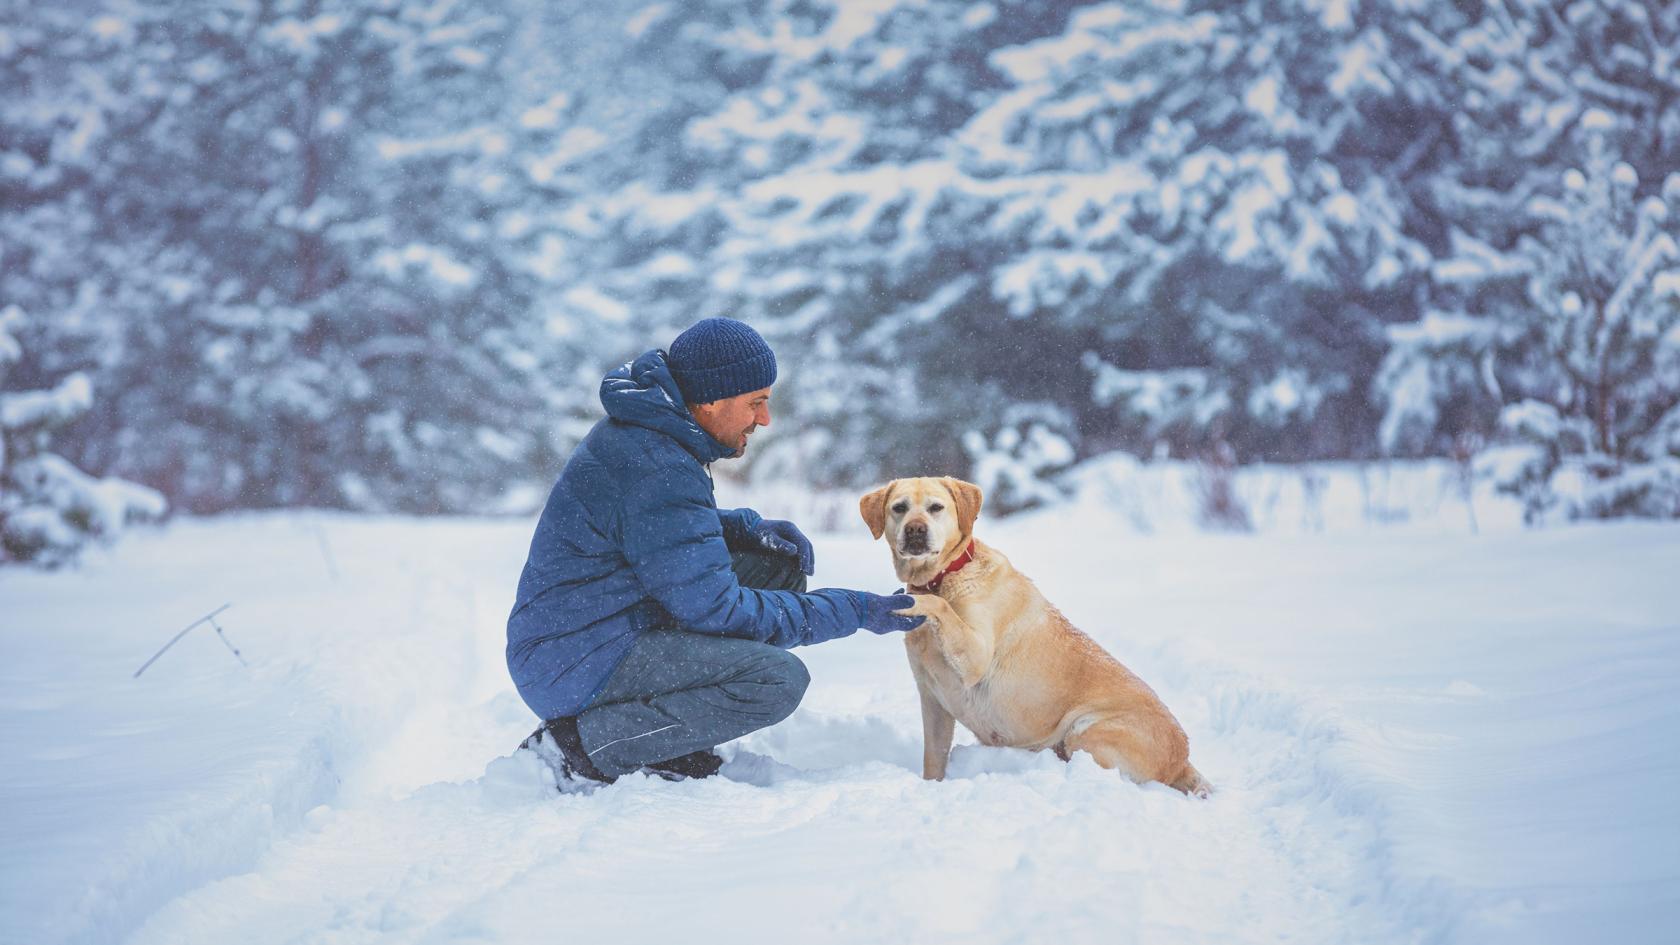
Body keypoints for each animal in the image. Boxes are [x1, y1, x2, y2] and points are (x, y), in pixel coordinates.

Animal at [866, 474, 1209, 790]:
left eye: (936, 508)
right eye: (899, 508)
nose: (915, 530)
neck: (944, 576)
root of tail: (1182, 760)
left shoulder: (975, 657)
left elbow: (938, 606)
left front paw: (908, 603)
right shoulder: (932, 698)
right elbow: (933, 759)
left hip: (1085, 730)